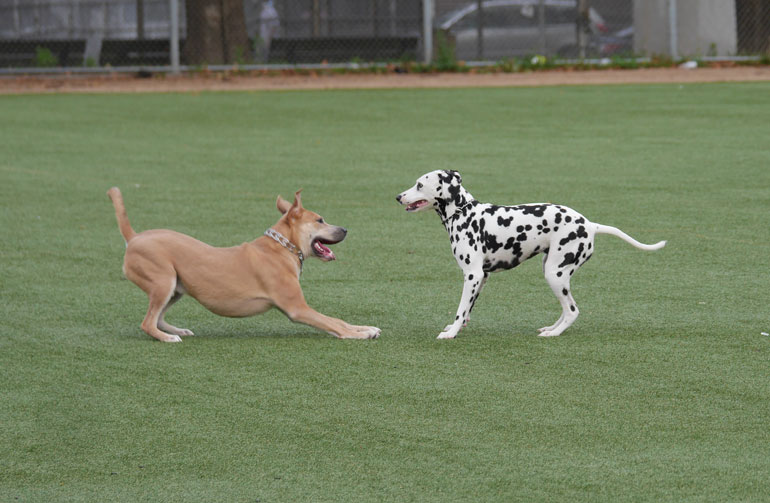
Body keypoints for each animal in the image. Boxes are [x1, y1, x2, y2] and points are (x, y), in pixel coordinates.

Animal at [109, 187, 380, 344]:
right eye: (320, 220)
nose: (345, 229)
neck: (282, 247)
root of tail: (134, 237)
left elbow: (338, 320)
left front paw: (367, 327)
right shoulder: (297, 309)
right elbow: (333, 323)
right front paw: (360, 334)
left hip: (175, 286)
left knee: (158, 317)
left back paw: (176, 330)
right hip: (163, 281)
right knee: (148, 322)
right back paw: (167, 338)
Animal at [392, 171, 664, 340]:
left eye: (419, 184)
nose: (398, 196)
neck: (464, 213)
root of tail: (590, 224)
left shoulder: (472, 275)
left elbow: (460, 309)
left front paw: (450, 333)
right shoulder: (481, 278)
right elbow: (468, 309)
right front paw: (456, 328)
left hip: (555, 274)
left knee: (572, 310)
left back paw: (554, 334)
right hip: (554, 273)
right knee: (566, 309)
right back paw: (551, 327)